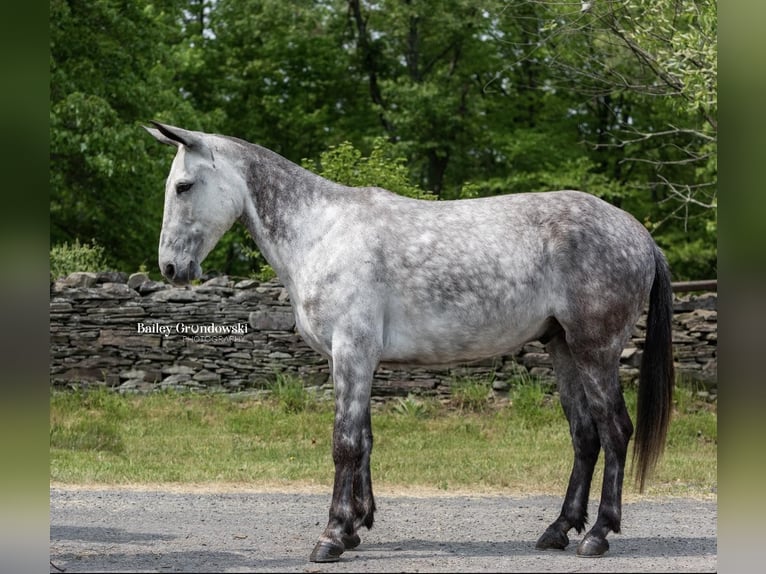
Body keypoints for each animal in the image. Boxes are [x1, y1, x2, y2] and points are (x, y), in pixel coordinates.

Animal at [147, 122, 676, 564]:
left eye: (183, 186)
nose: (170, 268)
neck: (320, 232)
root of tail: (640, 236)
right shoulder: (356, 359)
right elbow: (363, 440)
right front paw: (355, 527)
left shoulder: (352, 352)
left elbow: (344, 443)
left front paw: (332, 537)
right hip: (562, 348)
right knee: (584, 436)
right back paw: (558, 530)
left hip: (595, 351)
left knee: (615, 430)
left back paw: (598, 534)